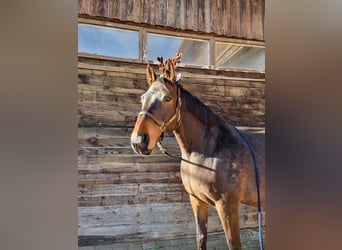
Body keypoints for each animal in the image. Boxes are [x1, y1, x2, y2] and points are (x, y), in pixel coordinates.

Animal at [130, 57, 266, 250]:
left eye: (167, 98)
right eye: (143, 97)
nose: (138, 140)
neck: (208, 152)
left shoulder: (227, 206)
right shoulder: (197, 201)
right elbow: (201, 238)